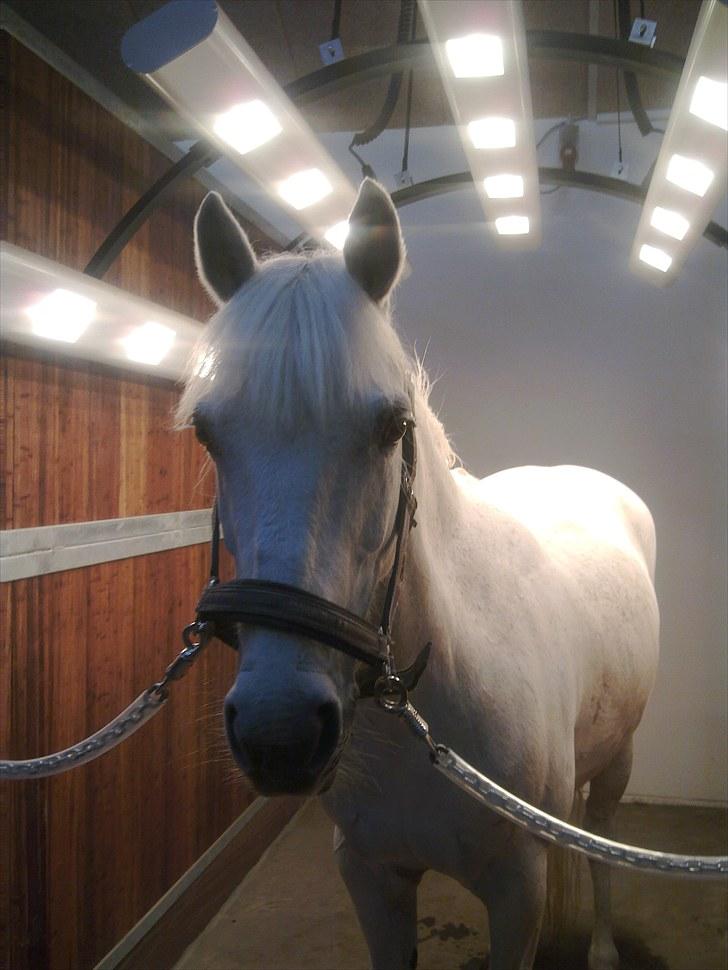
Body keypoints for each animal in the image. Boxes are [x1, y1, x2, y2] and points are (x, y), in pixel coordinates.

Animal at [178, 178, 660, 970]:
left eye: (391, 426)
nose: (280, 733)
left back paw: (602, 948)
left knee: (601, 846)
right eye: (207, 432)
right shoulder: (372, 874)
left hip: (618, 761)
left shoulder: (518, 889)